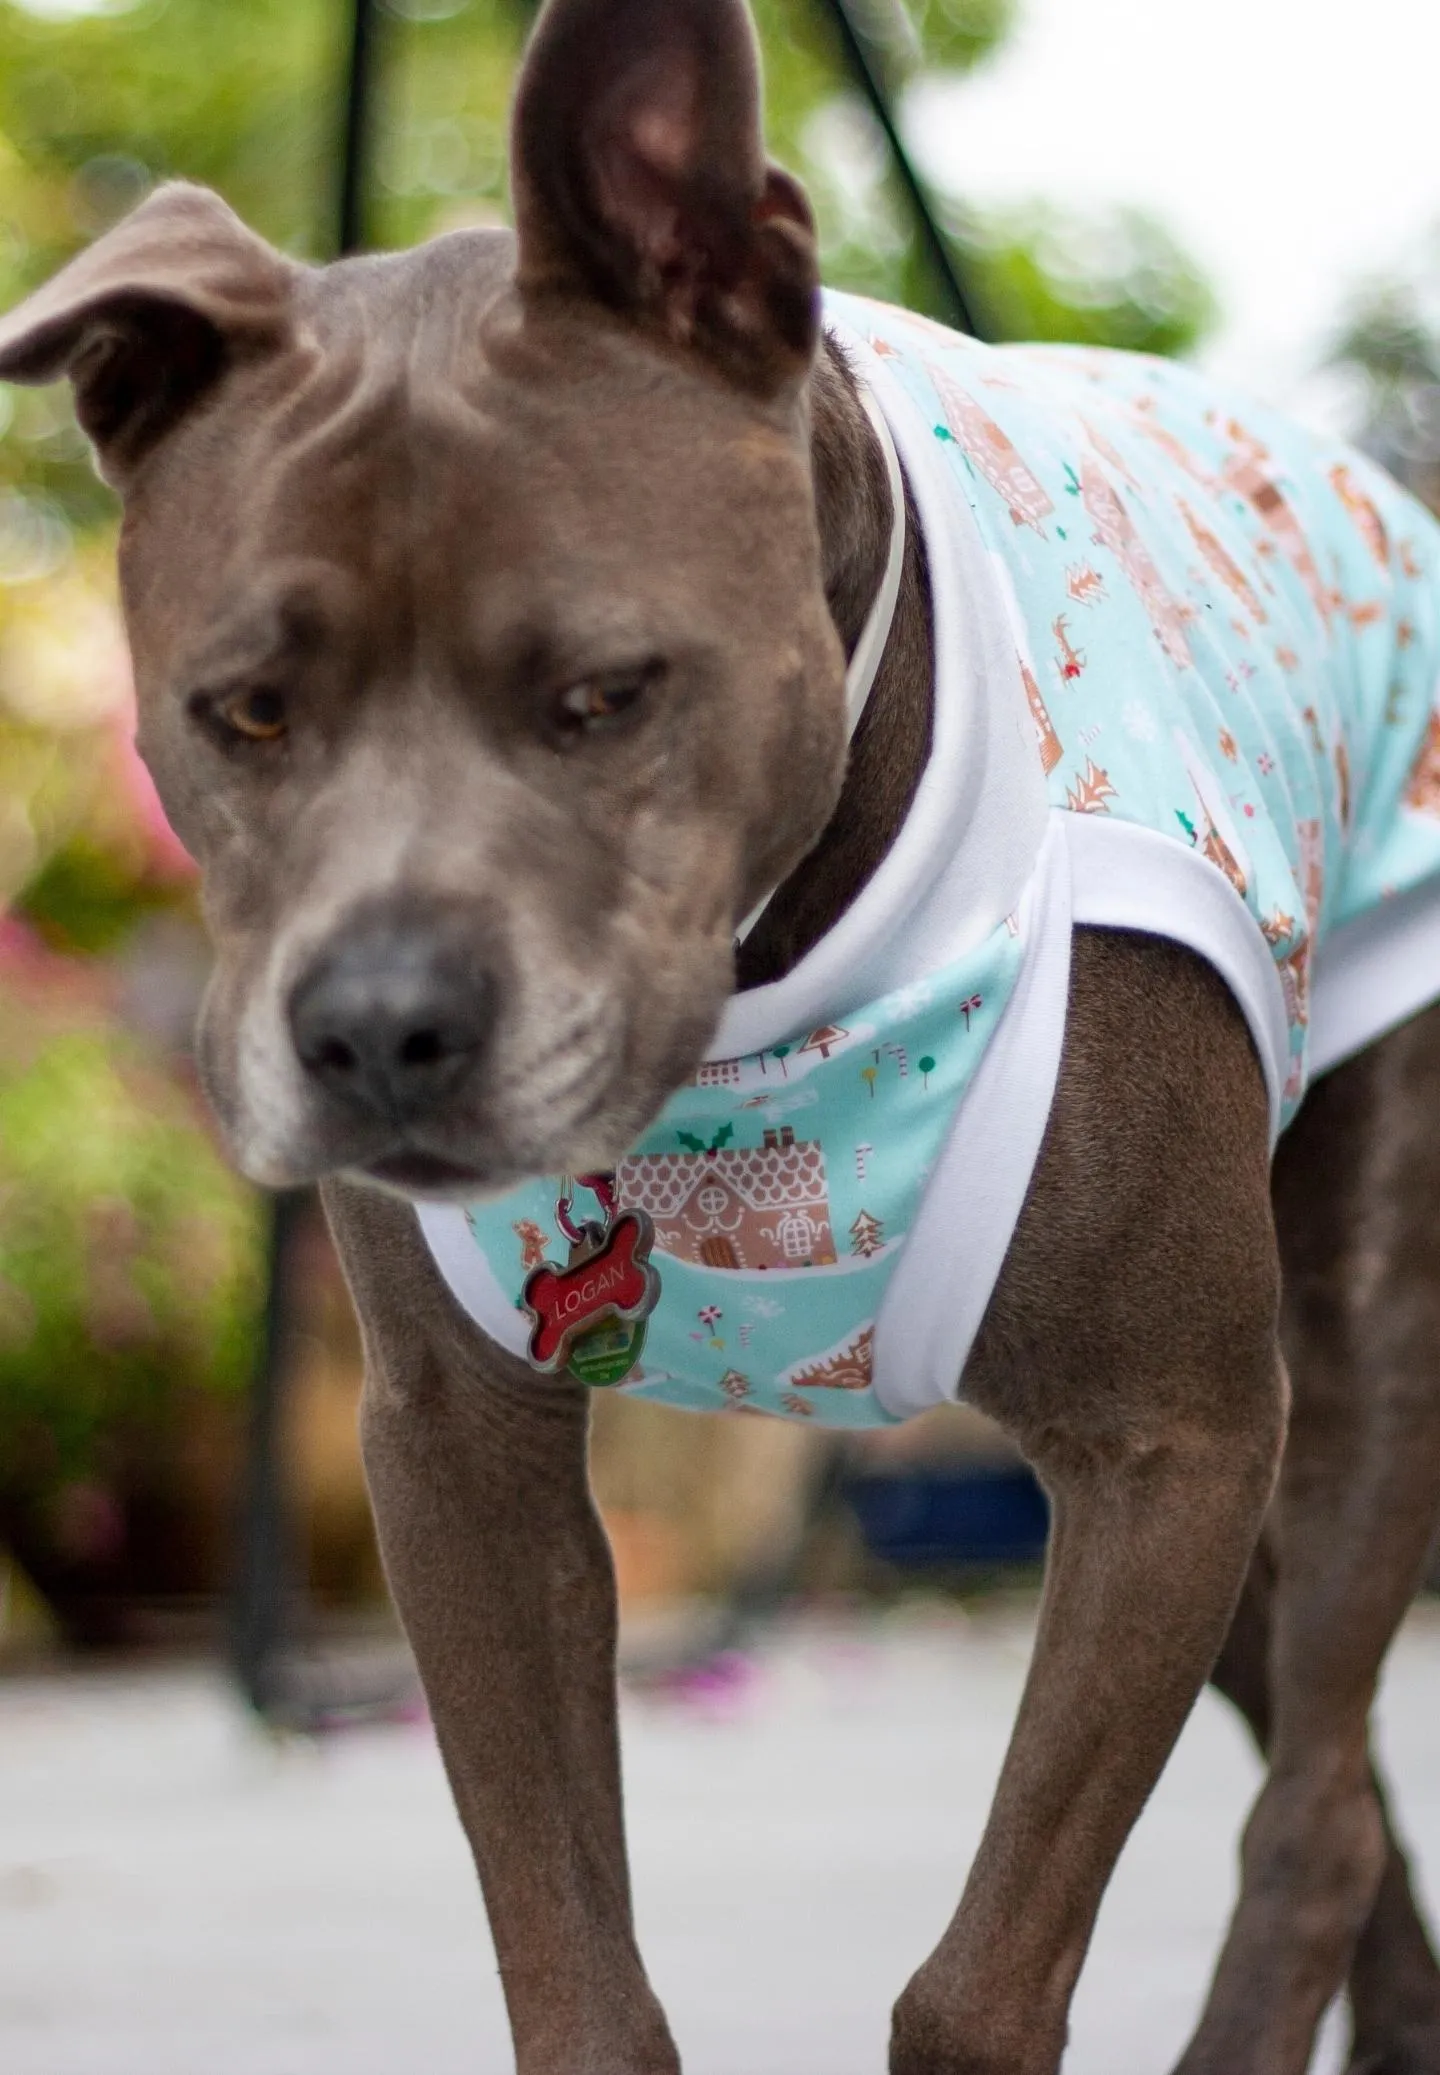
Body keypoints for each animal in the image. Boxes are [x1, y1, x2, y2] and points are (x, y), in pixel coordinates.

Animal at [8, 4, 1440, 2075]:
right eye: (246, 711)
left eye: (608, 693)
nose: (375, 1032)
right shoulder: (462, 1459)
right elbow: (570, 1958)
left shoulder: (1166, 1437)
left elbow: (975, 1989)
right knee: (1341, 1789)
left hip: (1340, 1364)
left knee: (1317, 1806)